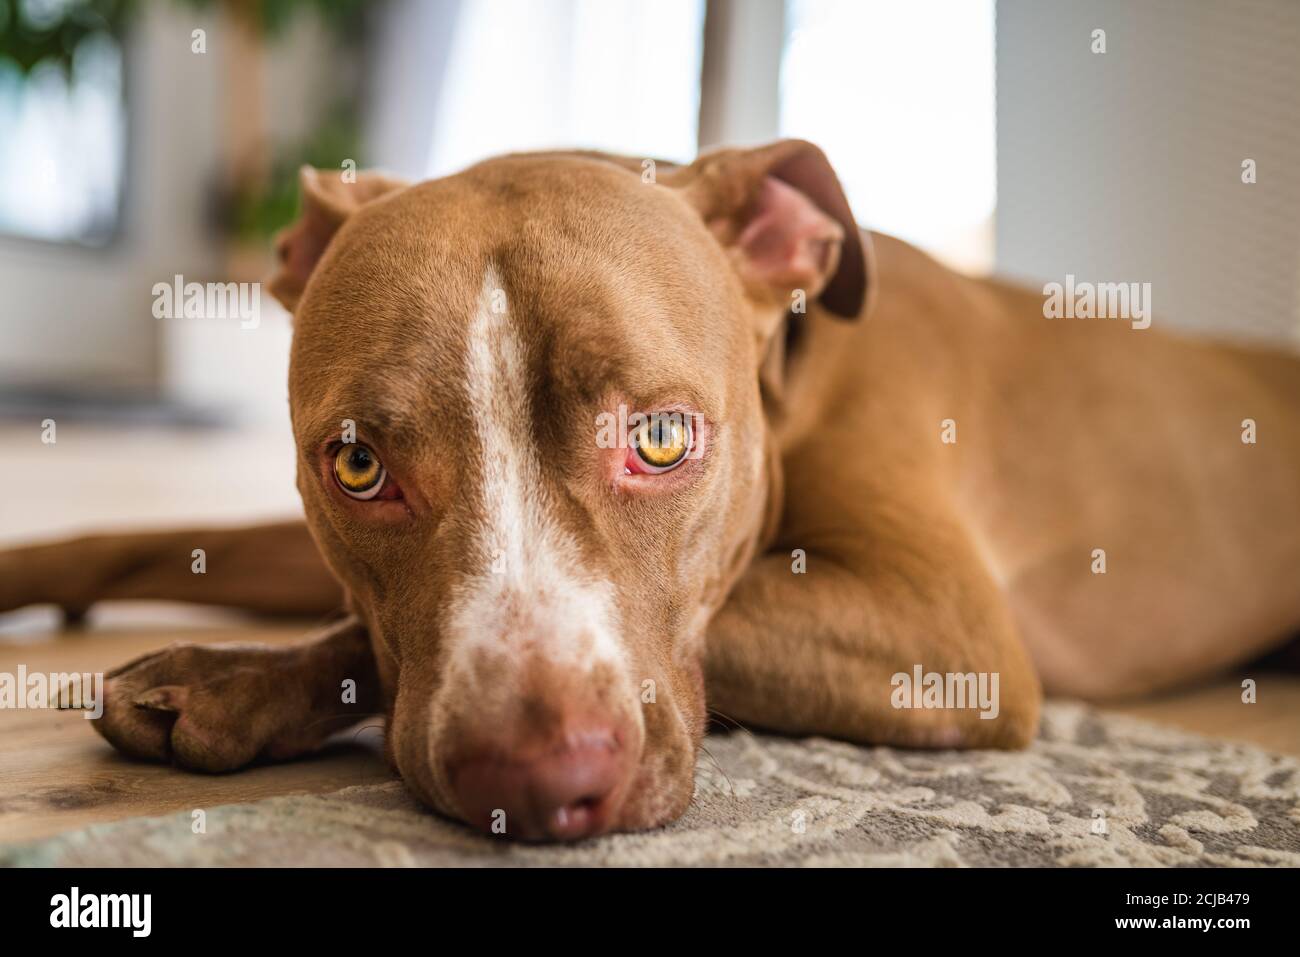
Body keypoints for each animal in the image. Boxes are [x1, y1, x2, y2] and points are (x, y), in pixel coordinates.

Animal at [2, 138, 1300, 842]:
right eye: (360, 464)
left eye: (664, 440)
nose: (535, 781)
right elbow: (177, 535)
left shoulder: (942, 624)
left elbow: (359, 637)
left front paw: (227, 682)